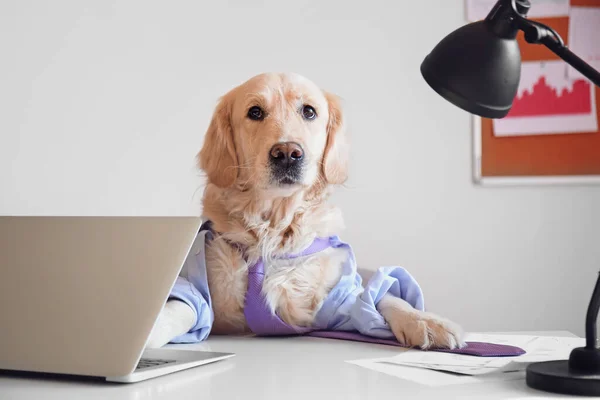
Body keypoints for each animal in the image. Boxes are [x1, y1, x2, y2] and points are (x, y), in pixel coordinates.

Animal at [146, 72, 464, 350]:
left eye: (309, 112)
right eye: (255, 112)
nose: (287, 153)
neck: (274, 230)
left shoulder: (339, 300)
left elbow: (380, 297)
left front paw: (426, 321)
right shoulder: (202, 289)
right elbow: (182, 305)